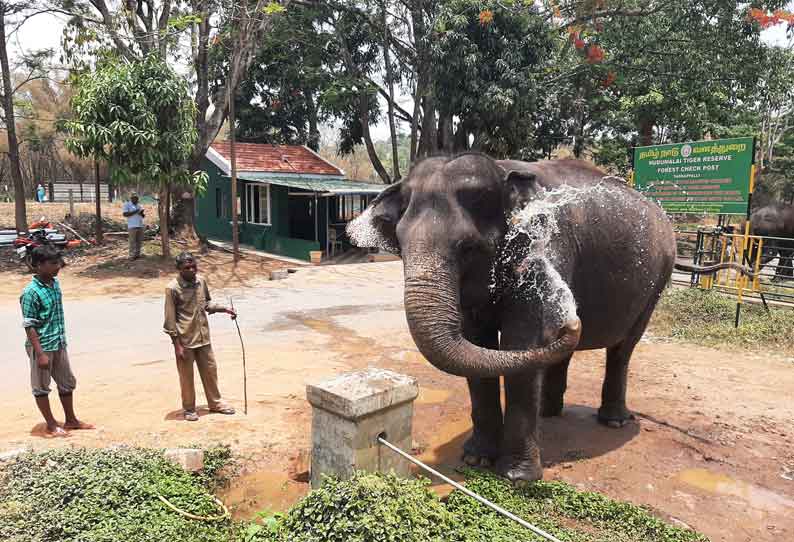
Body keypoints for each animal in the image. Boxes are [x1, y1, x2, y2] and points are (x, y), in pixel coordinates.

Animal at [346, 154, 676, 484]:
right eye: (400, 245)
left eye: (468, 247)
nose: (572, 319)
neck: (501, 169)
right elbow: (477, 340)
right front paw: (475, 459)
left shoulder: (542, 248)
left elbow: (522, 340)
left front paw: (516, 477)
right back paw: (548, 411)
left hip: (659, 278)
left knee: (624, 348)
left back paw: (613, 421)